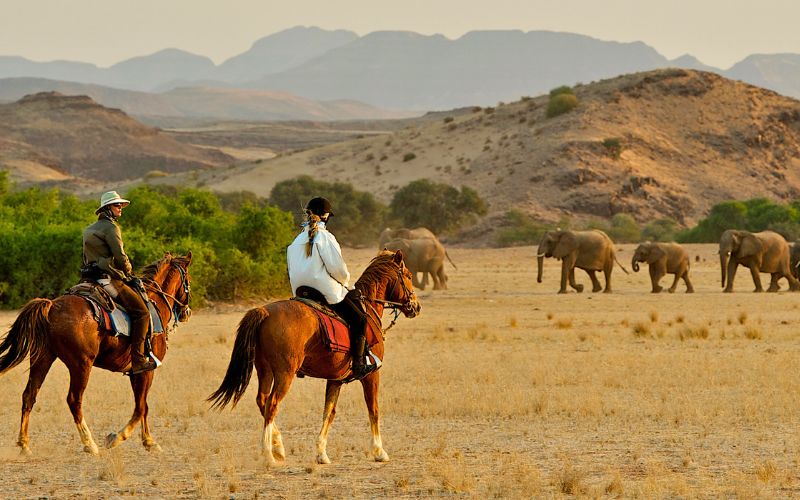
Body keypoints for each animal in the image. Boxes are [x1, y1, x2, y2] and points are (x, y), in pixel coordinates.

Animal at [0, 252, 193, 456]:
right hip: (81, 365)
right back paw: (89, 443)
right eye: (188, 278)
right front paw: (118, 438)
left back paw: (24, 444)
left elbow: (143, 406)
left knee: (29, 395)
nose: (186, 312)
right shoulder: (146, 370)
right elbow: (141, 407)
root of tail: (51, 306)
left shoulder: (135, 373)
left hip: (42, 359)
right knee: (74, 400)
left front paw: (148, 441)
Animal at [208, 250, 418, 464]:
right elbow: (373, 409)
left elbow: (329, 412)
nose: (415, 306)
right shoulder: (371, 375)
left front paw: (321, 453)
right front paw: (379, 451)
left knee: (262, 400)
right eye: (409, 276)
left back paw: (278, 446)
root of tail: (265, 312)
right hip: (284, 373)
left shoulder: (336, 379)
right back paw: (268, 454)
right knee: (272, 404)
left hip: (264, 369)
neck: (367, 308)